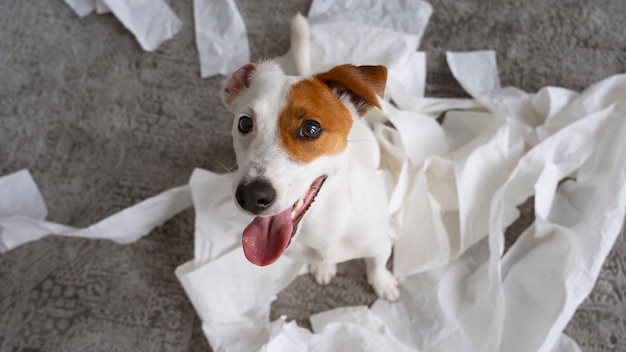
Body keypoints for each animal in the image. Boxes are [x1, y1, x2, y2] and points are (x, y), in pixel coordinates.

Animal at [219, 13, 398, 300]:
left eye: (311, 129)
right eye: (245, 123)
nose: (252, 196)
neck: (323, 224)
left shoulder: (381, 243)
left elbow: (376, 264)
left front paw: (382, 283)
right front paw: (322, 267)